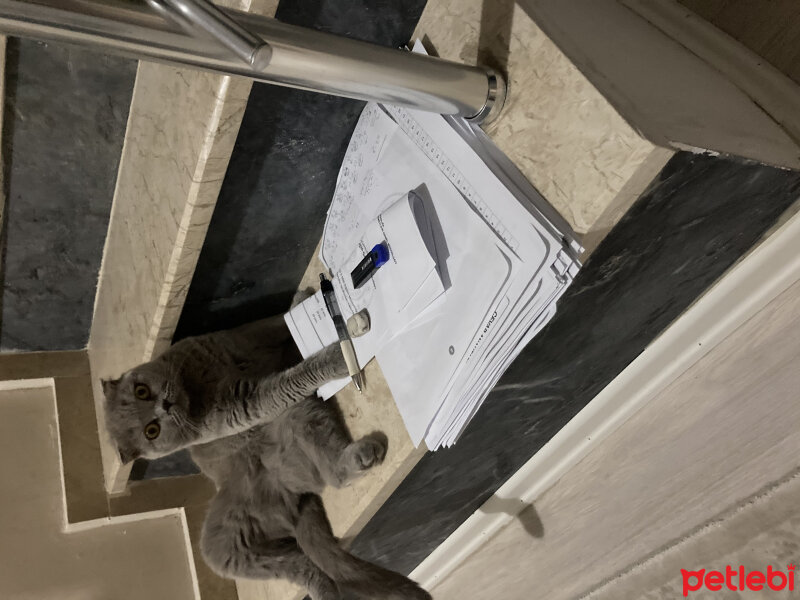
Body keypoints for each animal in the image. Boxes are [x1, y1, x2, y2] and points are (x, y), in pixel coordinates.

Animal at [104, 314, 434, 600]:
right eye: (152, 431)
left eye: (141, 391)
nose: (164, 406)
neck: (194, 386)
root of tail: (292, 503)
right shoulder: (248, 402)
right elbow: (297, 376)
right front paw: (343, 349)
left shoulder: (240, 336)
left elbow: (281, 320)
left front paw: (310, 301)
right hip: (226, 548)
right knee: (327, 500)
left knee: (310, 545)